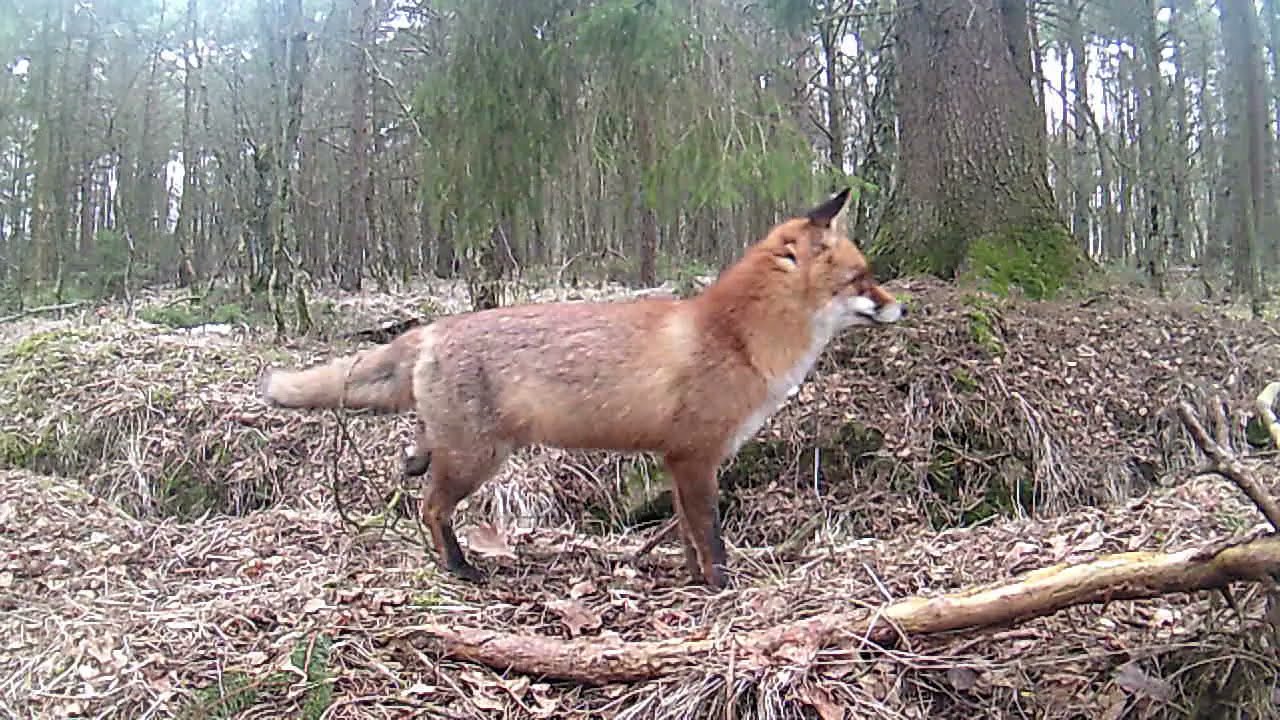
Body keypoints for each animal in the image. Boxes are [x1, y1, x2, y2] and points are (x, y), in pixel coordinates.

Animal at [257, 188, 905, 589]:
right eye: (862, 278)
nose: (902, 306)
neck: (736, 339)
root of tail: (435, 327)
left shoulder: (677, 462)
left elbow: (688, 537)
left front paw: (694, 580)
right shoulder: (695, 457)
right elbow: (712, 537)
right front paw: (723, 589)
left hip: (460, 446)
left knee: (417, 464)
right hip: (479, 458)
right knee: (430, 507)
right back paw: (460, 569)